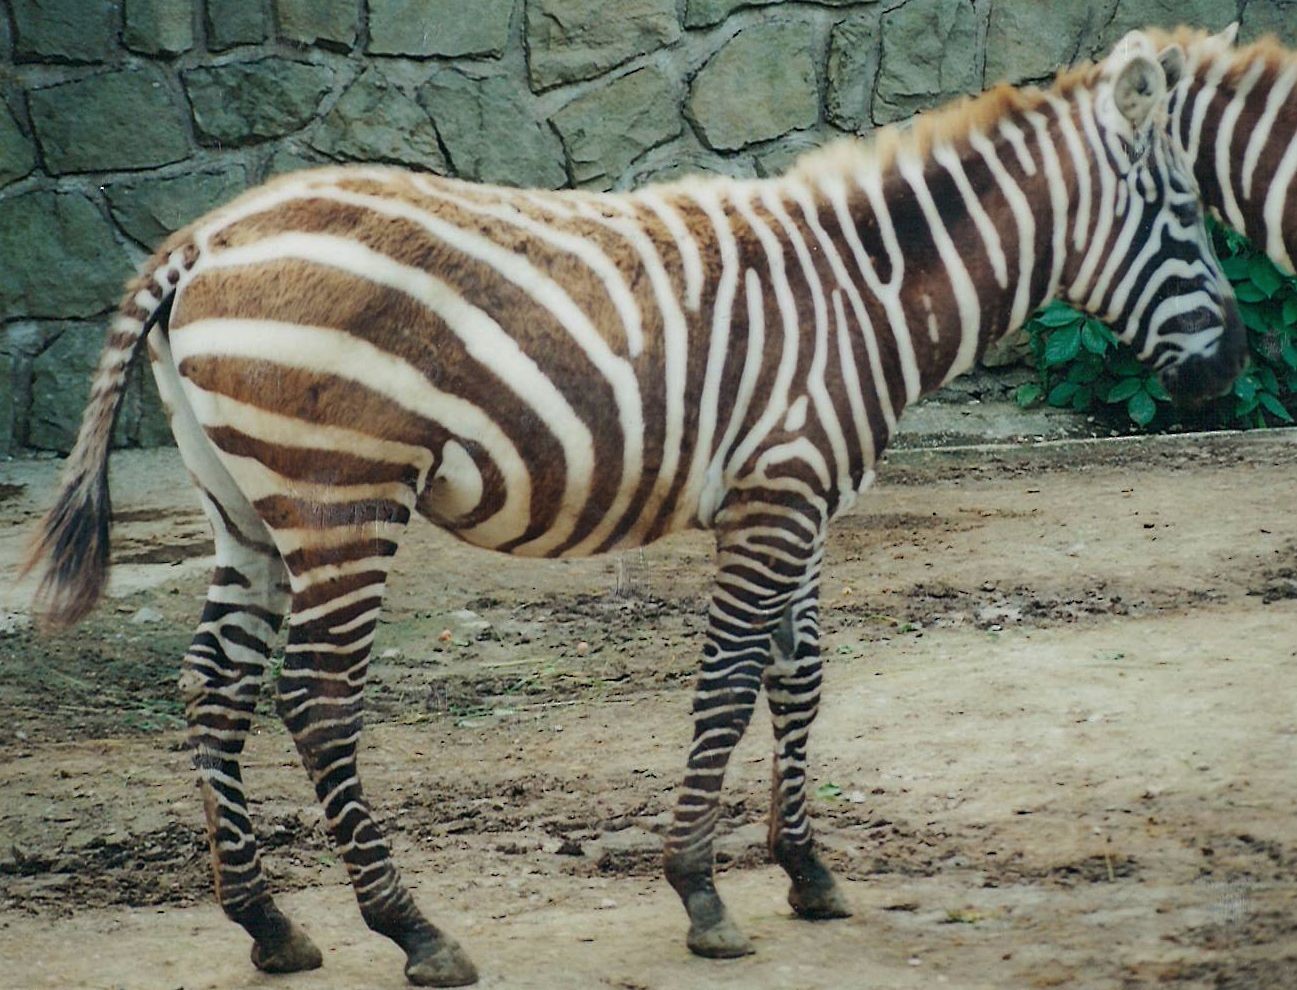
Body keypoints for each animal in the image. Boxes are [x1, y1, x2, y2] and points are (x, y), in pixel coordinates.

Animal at [24, 31, 1244, 988]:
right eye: (1187, 215)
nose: (1232, 364)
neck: (866, 290)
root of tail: (203, 238)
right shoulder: (776, 497)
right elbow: (728, 682)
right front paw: (701, 894)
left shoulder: (802, 498)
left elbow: (798, 673)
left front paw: (806, 869)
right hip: (340, 495)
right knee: (315, 703)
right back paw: (412, 929)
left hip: (243, 505)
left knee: (214, 687)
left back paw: (267, 924)